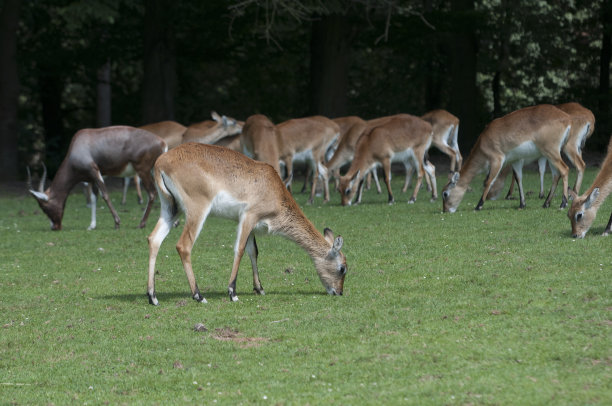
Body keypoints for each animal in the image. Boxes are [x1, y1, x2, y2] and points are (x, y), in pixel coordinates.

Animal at [29, 125, 167, 230]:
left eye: (44, 207)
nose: (55, 227)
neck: (78, 144)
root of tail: (162, 143)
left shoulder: (94, 172)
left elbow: (104, 195)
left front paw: (117, 223)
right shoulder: (92, 179)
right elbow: (93, 198)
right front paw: (92, 225)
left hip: (143, 171)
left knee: (152, 193)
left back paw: (141, 224)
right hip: (154, 172)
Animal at [146, 143, 346, 304]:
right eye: (343, 268)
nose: (339, 292)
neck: (275, 190)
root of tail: (161, 162)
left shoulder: (251, 225)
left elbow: (253, 251)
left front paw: (259, 288)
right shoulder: (248, 217)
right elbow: (240, 249)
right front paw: (232, 292)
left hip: (170, 209)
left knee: (154, 239)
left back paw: (152, 296)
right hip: (197, 210)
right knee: (183, 246)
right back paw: (198, 295)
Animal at [442, 104, 572, 213]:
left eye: (445, 194)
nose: (445, 210)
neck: (483, 143)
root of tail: (567, 118)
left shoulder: (497, 160)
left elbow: (489, 181)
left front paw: (478, 205)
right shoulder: (516, 161)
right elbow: (519, 178)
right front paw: (522, 204)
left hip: (551, 152)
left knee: (565, 169)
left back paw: (563, 204)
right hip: (549, 155)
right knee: (556, 175)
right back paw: (546, 203)